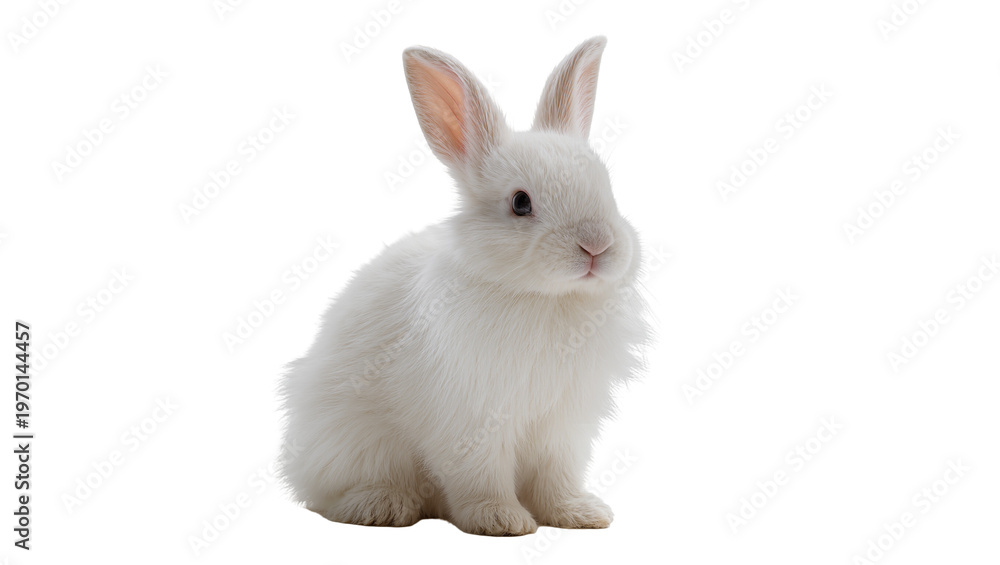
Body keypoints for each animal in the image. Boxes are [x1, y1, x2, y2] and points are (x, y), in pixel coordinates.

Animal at [280, 36, 650, 536]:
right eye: (520, 203)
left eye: (607, 188)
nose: (597, 245)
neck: (547, 298)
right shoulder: (473, 419)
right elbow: (481, 475)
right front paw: (501, 520)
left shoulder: (561, 427)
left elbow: (556, 476)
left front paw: (580, 514)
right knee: (335, 495)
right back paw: (383, 505)